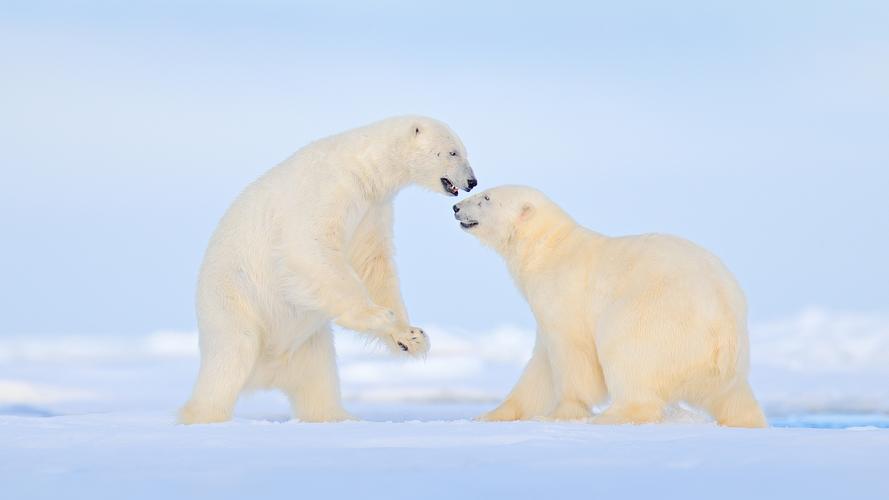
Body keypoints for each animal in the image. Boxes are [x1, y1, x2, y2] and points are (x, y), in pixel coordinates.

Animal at [176, 115, 476, 424]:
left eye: (464, 151)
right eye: (453, 152)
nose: (471, 181)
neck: (364, 168)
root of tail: (266, 373)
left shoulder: (372, 210)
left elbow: (372, 264)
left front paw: (412, 337)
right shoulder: (328, 191)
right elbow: (310, 248)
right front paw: (380, 316)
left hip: (311, 344)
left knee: (319, 382)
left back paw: (340, 417)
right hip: (233, 304)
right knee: (230, 359)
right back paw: (204, 415)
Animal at [454, 186, 768, 428]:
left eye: (486, 198)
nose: (456, 207)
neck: (547, 249)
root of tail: (723, 327)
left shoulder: (563, 295)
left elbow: (572, 355)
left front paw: (560, 414)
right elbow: (539, 368)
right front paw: (490, 415)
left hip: (656, 319)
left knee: (627, 354)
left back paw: (610, 416)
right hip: (724, 363)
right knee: (734, 397)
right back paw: (746, 420)